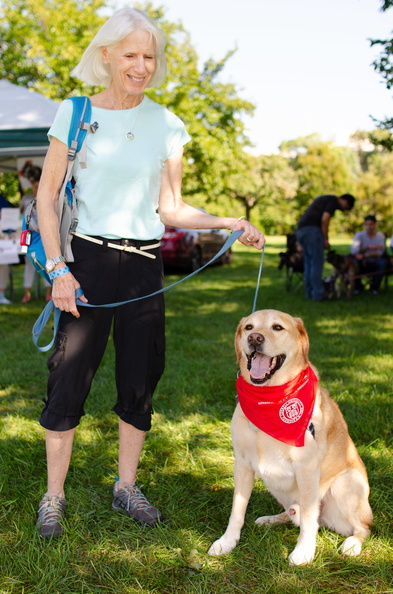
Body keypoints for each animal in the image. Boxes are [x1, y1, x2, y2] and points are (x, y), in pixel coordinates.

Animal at [208, 310, 370, 564]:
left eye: (277, 327)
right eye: (249, 327)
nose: (254, 338)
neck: (268, 397)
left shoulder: (307, 468)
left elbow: (309, 520)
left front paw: (303, 551)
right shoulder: (242, 464)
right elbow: (237, 510)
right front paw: (227, 541)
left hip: (345, 484)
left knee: (362, 527)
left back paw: (352, 544)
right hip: (276, 485)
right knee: (295, 513)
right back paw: (271, 519)